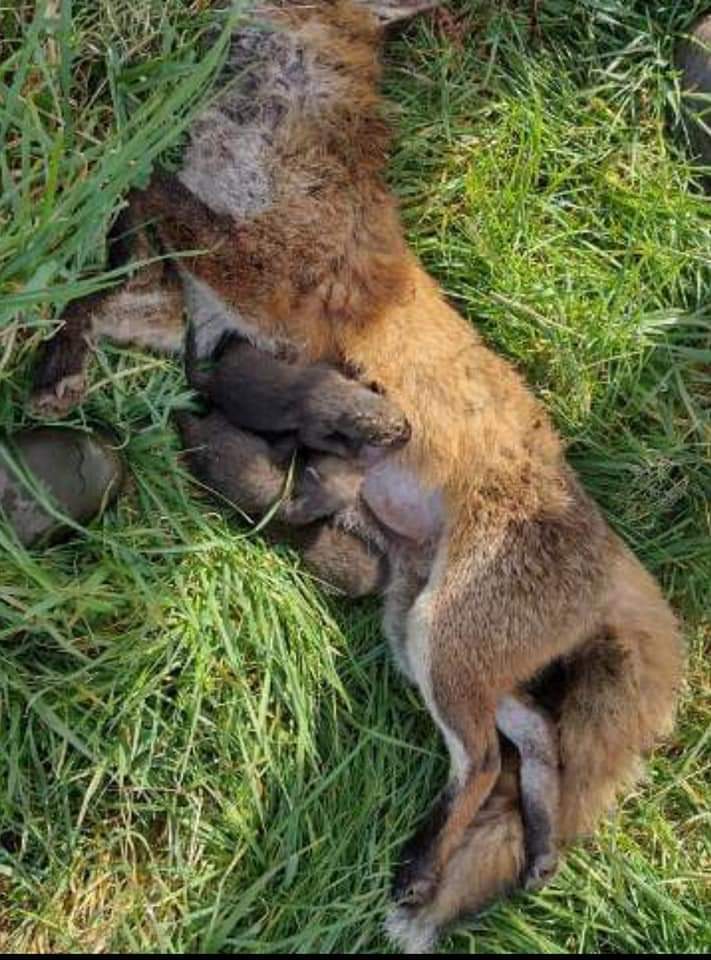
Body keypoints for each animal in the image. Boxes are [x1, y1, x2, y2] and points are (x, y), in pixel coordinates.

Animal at [32, 0, 683, 951]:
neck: (274, 128)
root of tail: (610, 549)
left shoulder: (260, 277)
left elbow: (149, 190)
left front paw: (116, 172)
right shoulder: (198, 311)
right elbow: (97, 297)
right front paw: (59, 365)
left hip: (446, 639)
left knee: (484, 758)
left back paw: (420, 872)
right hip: (418, 633)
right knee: (529, 738)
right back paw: (519, 852)